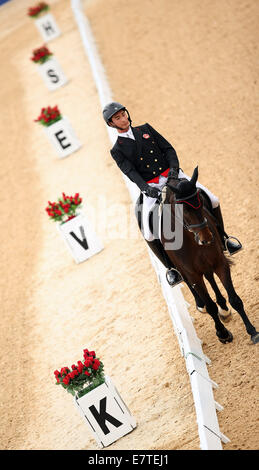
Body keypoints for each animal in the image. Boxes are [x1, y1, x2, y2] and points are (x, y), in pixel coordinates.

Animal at [162, 167, 259, 344]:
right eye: (183, 209)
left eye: (200, 200)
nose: (206, 238)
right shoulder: (193, 275)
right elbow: (210, 306)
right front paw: (223, 334)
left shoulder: (219, 262)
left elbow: (235, 299)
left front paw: (252, 331)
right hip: (185, 271)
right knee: (196, 286)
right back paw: (202, 304)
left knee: (210, 277)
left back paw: (224, 308)